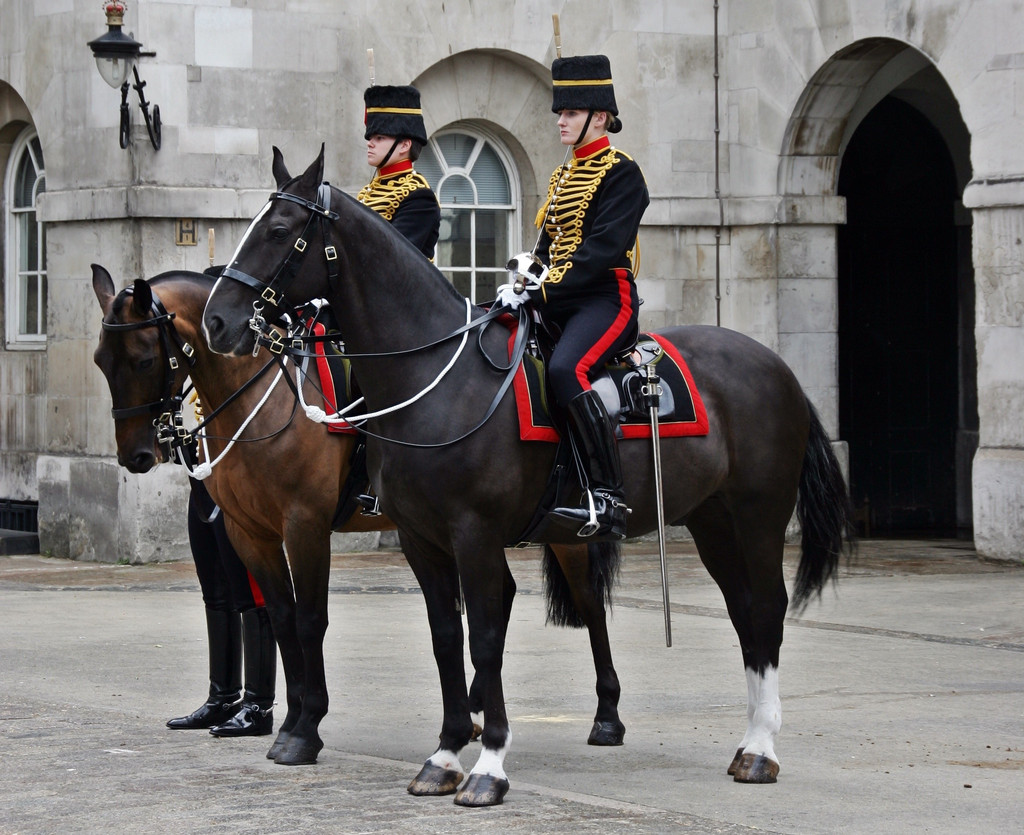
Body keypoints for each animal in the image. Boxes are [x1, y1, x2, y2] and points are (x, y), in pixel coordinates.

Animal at [92, 268, 626, 770]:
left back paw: (605, 716)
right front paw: (289, 721)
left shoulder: (304, 526)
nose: (136, 455)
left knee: (590, 604)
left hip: (555, 529)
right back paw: (475, 710)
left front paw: (305, 725)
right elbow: (281, 619)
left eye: (143, 359)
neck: (261, 398)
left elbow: (308, 619)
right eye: (100, 361)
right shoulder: (248, 532)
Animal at [201, 146, 856, 807]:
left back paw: (761, 748)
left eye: (279, 230)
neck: (437, 379)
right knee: (744, 612)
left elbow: (484, 635)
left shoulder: (467, 533)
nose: (218, 322)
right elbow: (446, 636)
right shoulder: (418, 538)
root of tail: (774, 363)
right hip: (712, 521)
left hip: (757, 517)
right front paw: (444, 755)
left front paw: (487, 764)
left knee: (765, 608)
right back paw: (744, 743)